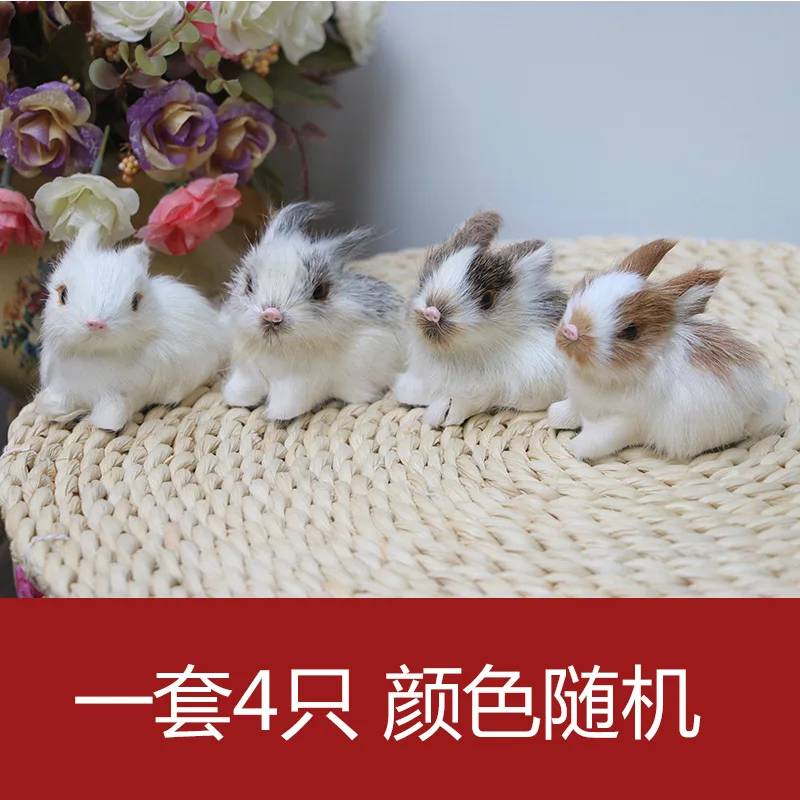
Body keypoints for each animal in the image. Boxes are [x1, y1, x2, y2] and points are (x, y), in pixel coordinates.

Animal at [35, 223, 226, 432]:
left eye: (135, 301)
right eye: (63, 294)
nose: (95, 323)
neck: (94, 354)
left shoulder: (119, 396)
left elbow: (110, 419)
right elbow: (47, 405)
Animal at [222, 202, 405, 421]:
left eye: (320, 291)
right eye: (248, 284)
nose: (271, 314)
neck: (276, 352)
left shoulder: (302, 383)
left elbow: (288, 402)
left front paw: (276, 415)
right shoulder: (248, 371)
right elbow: (244, 390)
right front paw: (238, 400)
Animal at [549, 238, 788, 461]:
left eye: (630, 331)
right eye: (583, 287)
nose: (571, 331)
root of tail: (757, 408)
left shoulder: (626, 422)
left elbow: (598, 440)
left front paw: (574, 448)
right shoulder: (579, 403)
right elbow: (566, 413)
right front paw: (553, 417)